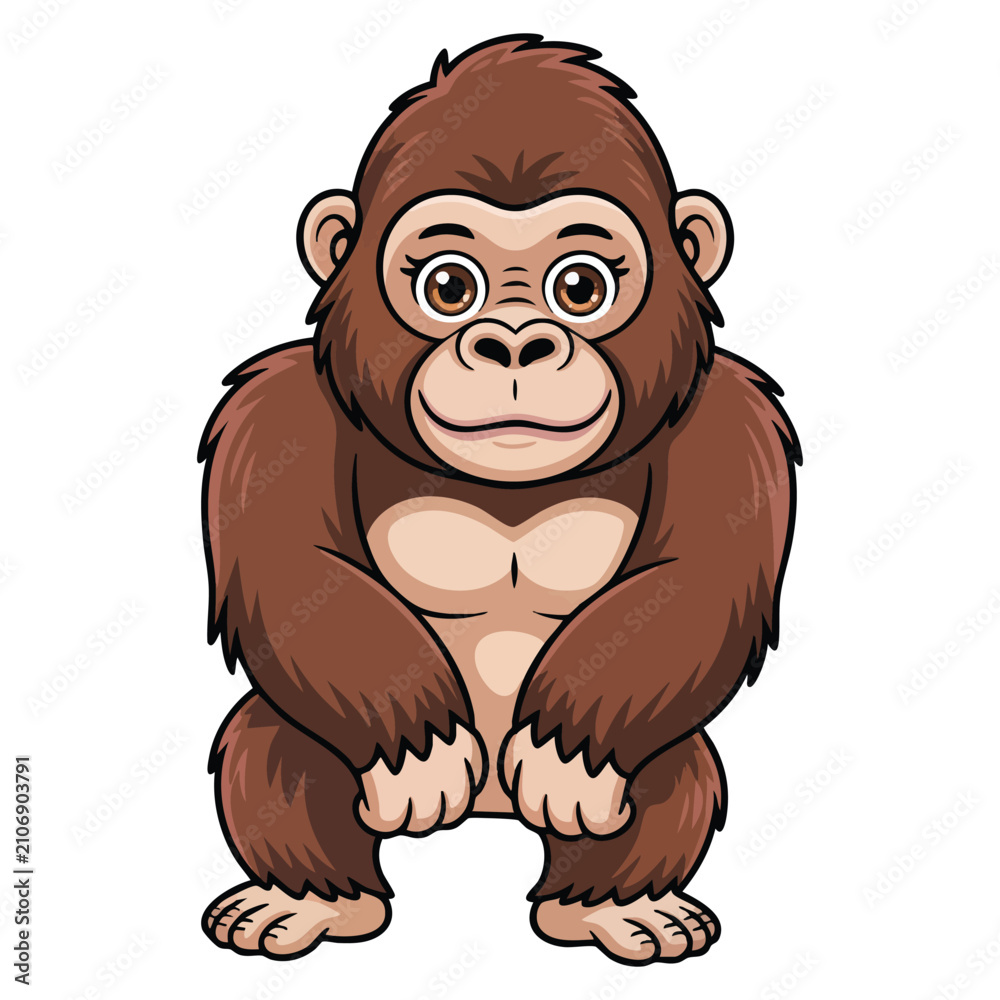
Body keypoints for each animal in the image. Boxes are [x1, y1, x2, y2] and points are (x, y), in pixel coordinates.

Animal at [199, 35, 799, 965]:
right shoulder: (272, 411)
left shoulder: (734, 422)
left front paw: (567, 760)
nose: (514, 342)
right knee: (269, 744)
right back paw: (310, 900)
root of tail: (491, 816)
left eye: (580, 287)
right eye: (450, 287)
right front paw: (420, 753)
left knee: (674, 769)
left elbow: (699, 580)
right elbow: (292, 571)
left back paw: (611, 906)